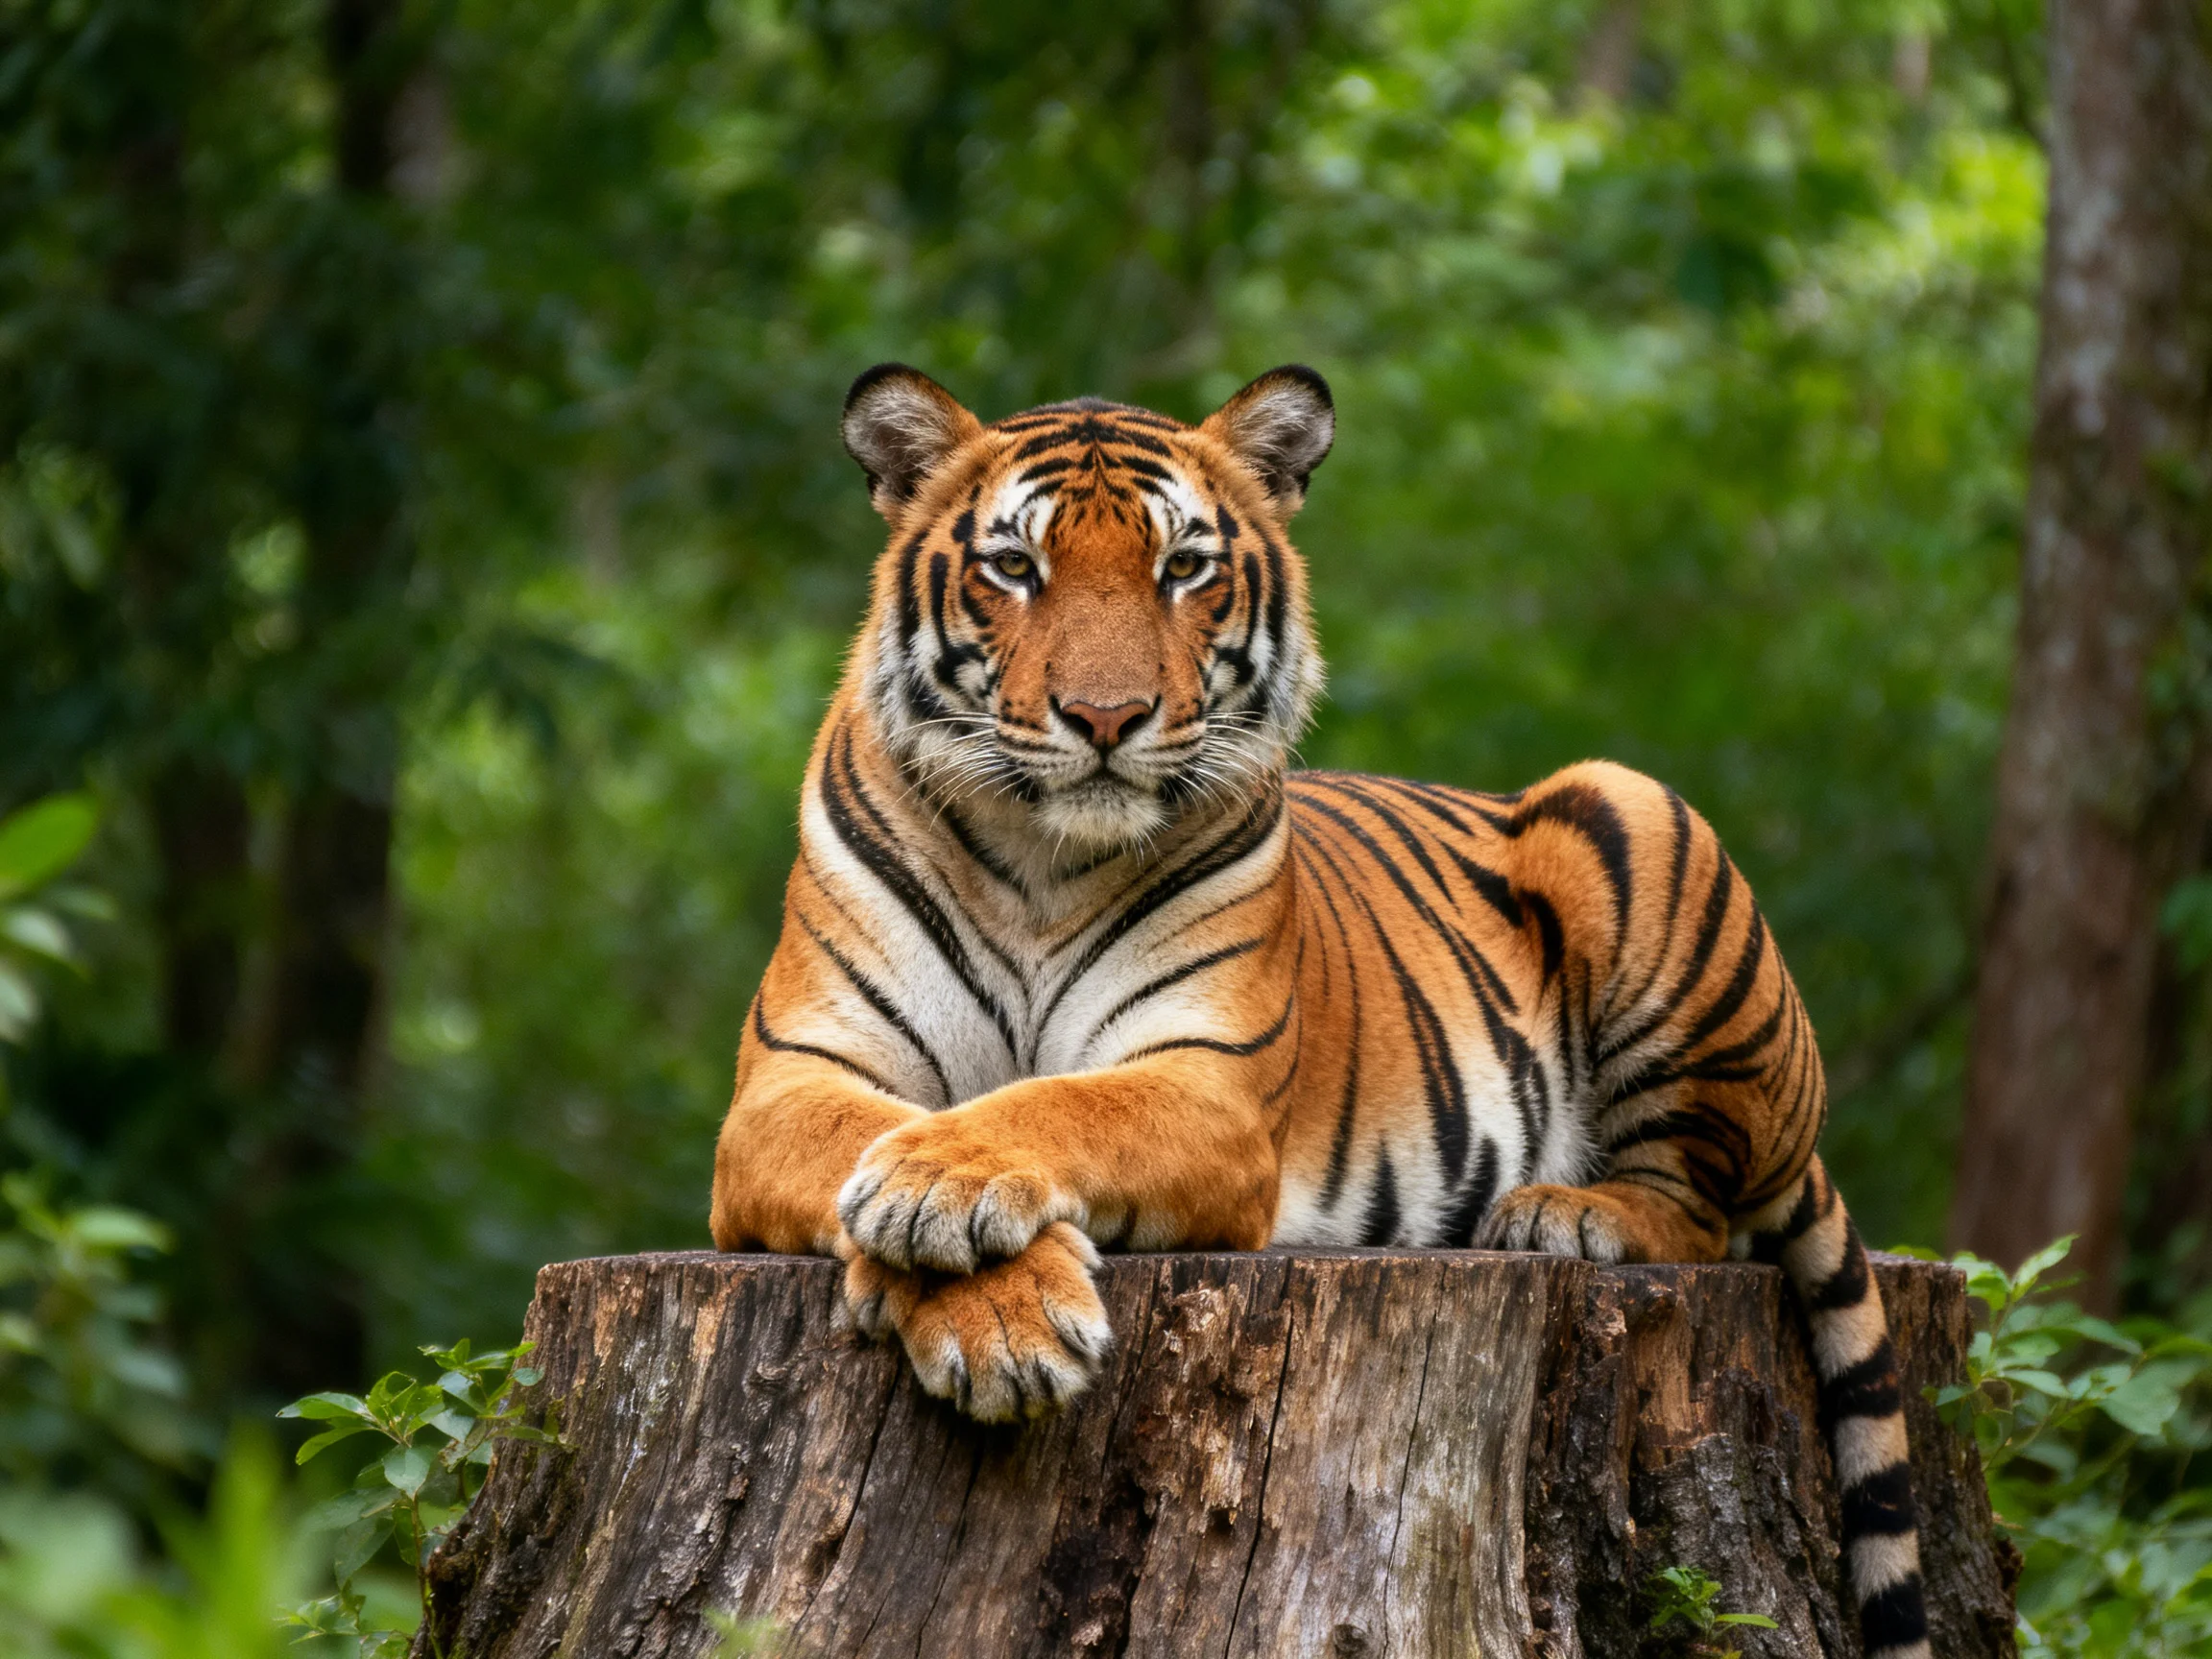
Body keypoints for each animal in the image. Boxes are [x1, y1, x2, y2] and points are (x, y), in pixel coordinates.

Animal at [709, 364, 1931, 1659]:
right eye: (1015, 567)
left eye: (1184, 568)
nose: (1107, 717)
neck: (1041, 857)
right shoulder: (788, 1081)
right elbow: (864, 1136)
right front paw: (997, 1315)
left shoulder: (1206, 1078)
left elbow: (1056, 1108)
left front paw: (943, 1203)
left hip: (1627, 808)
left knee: (1699, 1208)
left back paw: (1567, 1214)